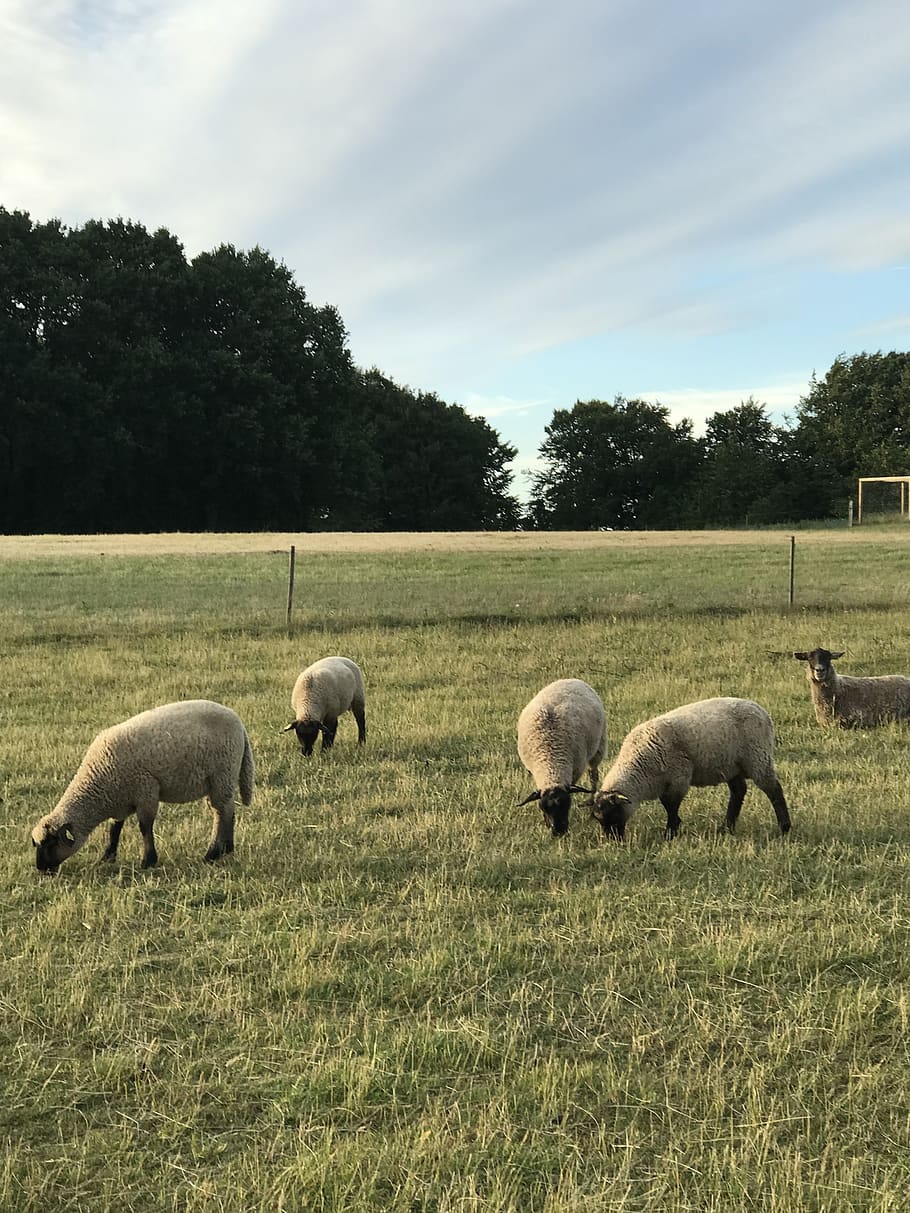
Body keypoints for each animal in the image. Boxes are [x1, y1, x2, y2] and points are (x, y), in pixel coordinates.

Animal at [30, 700, 254, 874]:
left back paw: (213, 854)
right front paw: (106, 857)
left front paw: (148, 861)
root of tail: (238, 722)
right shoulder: (120, 799)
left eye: (51, 843)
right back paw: (226, 849)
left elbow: (145, 827)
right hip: (218, 779)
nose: (41, 869)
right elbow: (115, 828)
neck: (98, 780)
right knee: (226, 811)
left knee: (222, 811)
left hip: (223, 774)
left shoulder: (146, 791)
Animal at [516, 678, 607, 837]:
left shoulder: (575, 769)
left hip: (599, 746)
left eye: (567, 804)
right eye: (543, 807)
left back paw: (591, 801)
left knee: (593, 775)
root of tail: (571, 679)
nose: (559, 831)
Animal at [592, 696, 790, 841]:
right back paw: (727, 826)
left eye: (612, 813)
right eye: (598, 819)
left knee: (774, 791)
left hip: (758, 757)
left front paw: (670, 832)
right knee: (738, 791)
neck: (639, 765)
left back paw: (784, 827)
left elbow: (669, 805)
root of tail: (761, 710)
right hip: (731, 764)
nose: (614, 841)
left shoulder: (679, 777)